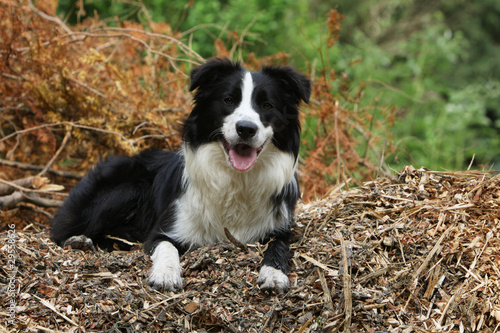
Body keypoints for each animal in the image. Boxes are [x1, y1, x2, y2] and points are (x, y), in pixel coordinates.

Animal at [49, 58, 308, 292]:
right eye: (228, 100)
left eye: (267, 106)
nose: (246, 129)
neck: (236, 179)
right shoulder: (166, 230)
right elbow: (167, 247)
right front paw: (165, 274)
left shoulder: (280, 228)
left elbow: (278, 247)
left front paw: (274, 274)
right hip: (128, 189)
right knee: (61, 230)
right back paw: (79, 241)